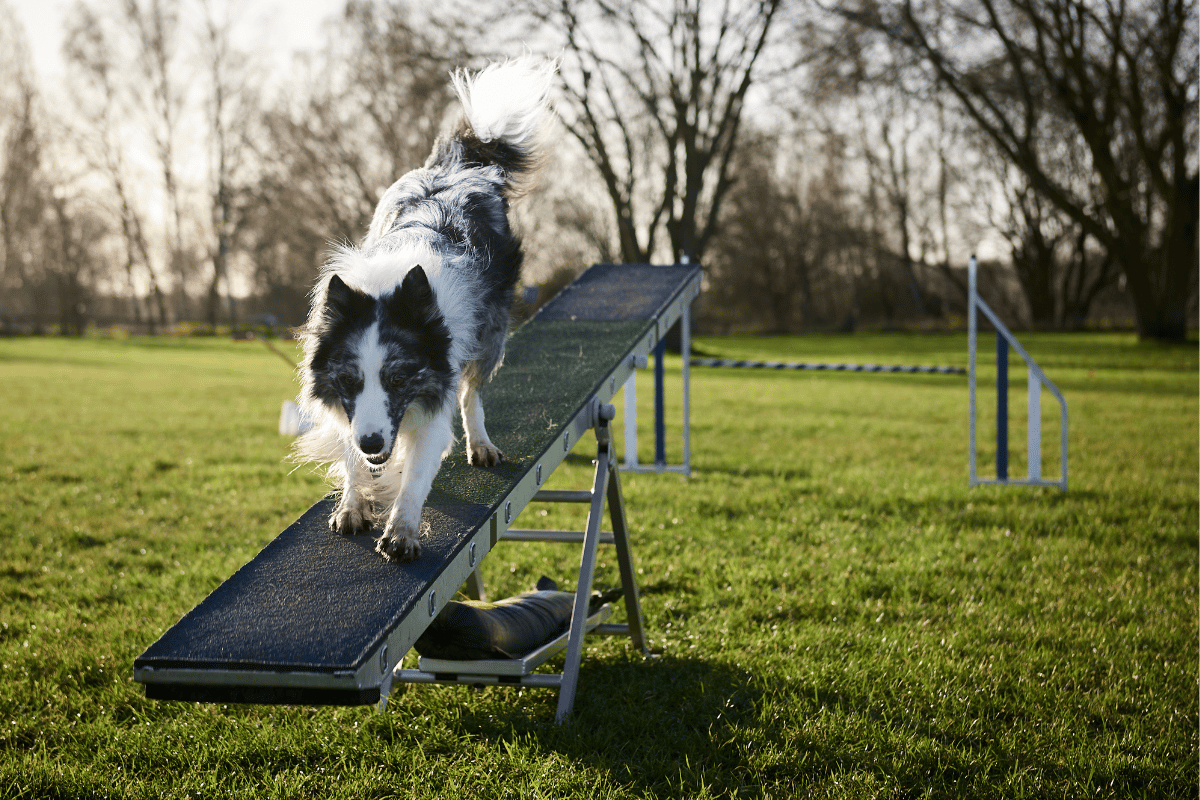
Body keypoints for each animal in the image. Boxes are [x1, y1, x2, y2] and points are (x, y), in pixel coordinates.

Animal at [292, 56, 554, 563]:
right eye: (350, 380)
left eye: (398, 379)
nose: (374, 442)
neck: (387, 288)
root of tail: (457, 165)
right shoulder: (349, 410)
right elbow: (351, 455)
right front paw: (353, 502)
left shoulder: (435, 393)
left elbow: (416, 471)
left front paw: (402, 530)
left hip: (490, 337)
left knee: (472, 394)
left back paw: (481, 444)